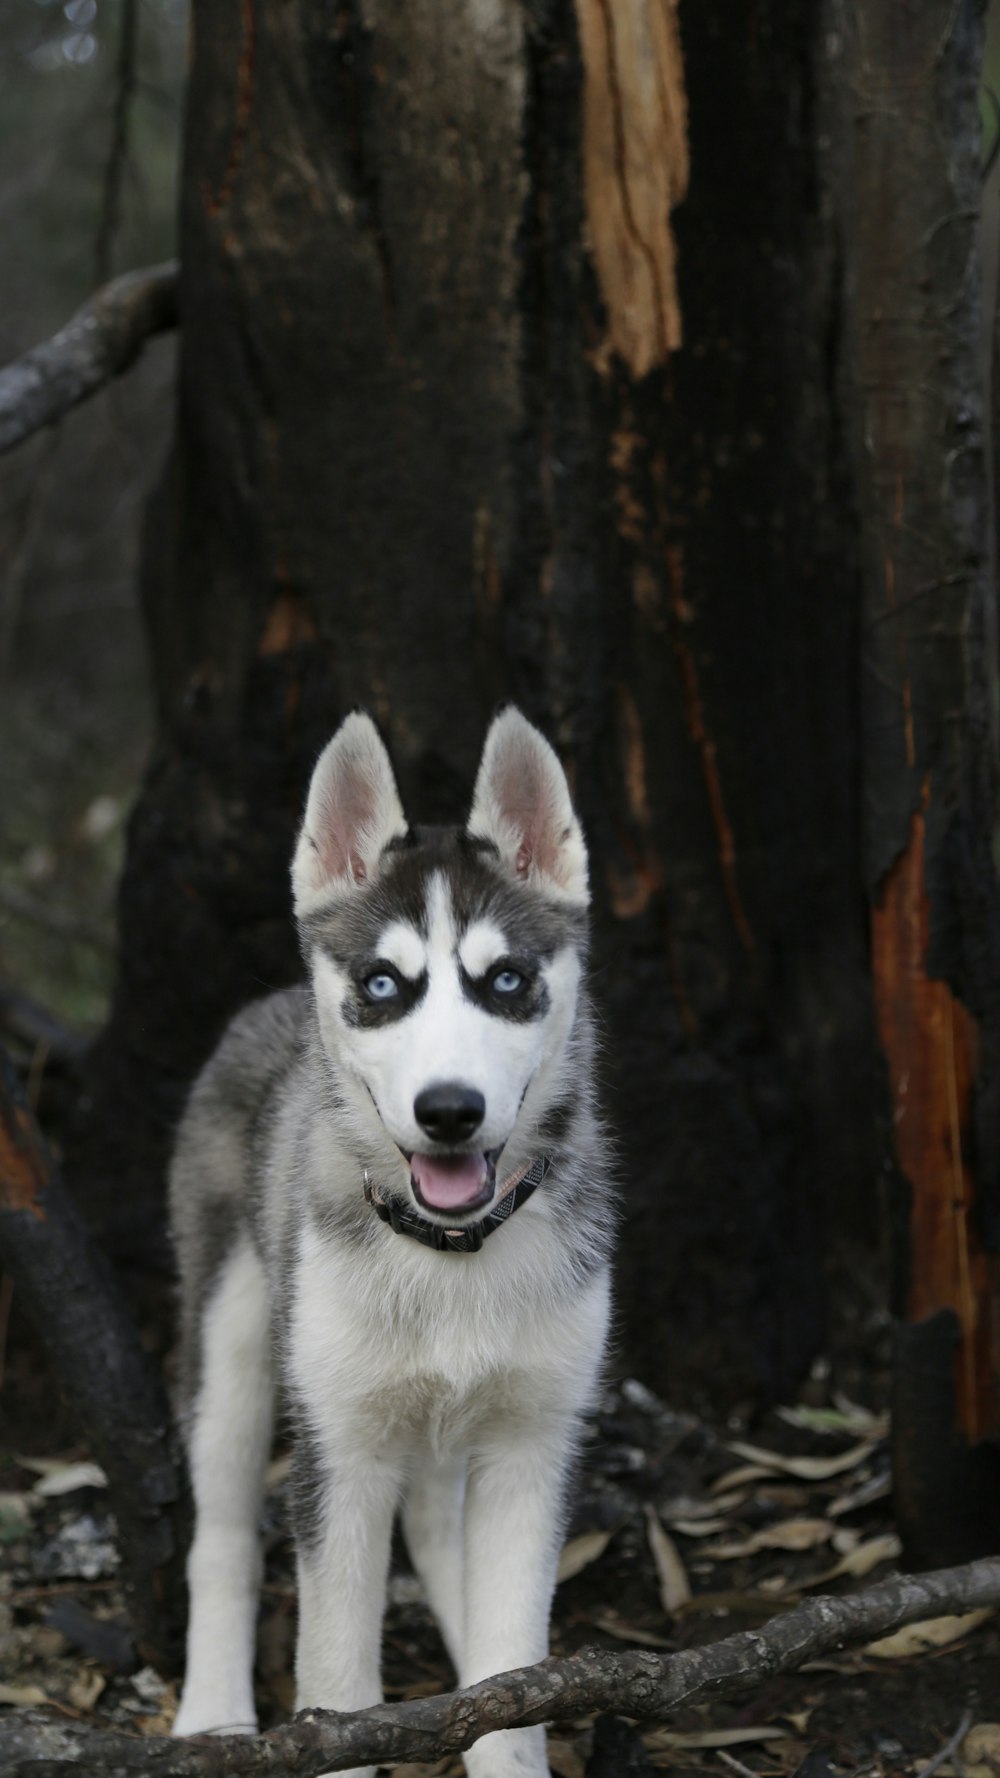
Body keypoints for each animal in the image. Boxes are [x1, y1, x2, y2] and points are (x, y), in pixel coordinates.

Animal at [167, 707, 612, 1778]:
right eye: (382, 983)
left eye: (506, 980)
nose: (449, 1111)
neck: (451, 1253)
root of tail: (265, 1007)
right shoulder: (341, 1450)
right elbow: (335, 1677)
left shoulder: (535, 1441)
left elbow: (514, 1671)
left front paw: (498, 1721)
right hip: (233, 1341)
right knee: (222, 1534)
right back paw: (212, 1713)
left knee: (439, 1526)